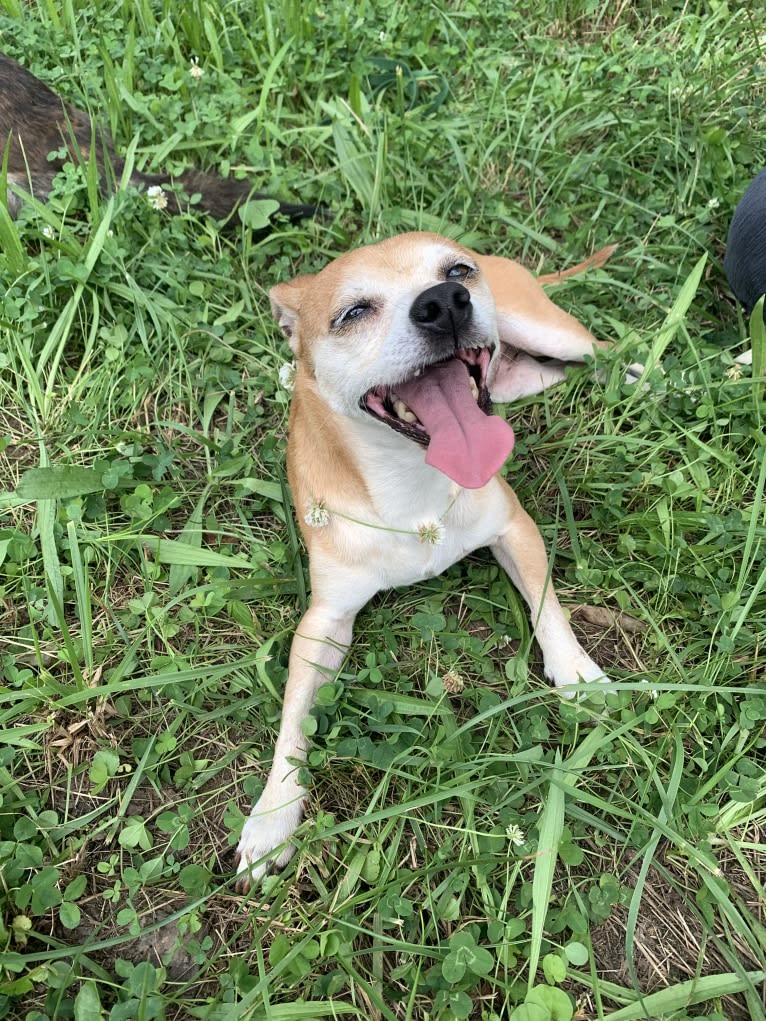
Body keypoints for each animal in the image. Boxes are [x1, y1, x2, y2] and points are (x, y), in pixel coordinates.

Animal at [236, 231, 616, 886]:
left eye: (454, 270)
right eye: (353, 313)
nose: (444, 302)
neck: (412, 479)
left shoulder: (515, 529)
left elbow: (549, 607)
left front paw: (576, 672)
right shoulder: (324, 622)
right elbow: (293, 720)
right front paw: (274, 813)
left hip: (551, 332)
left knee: (610, 350)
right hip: (529, 374)